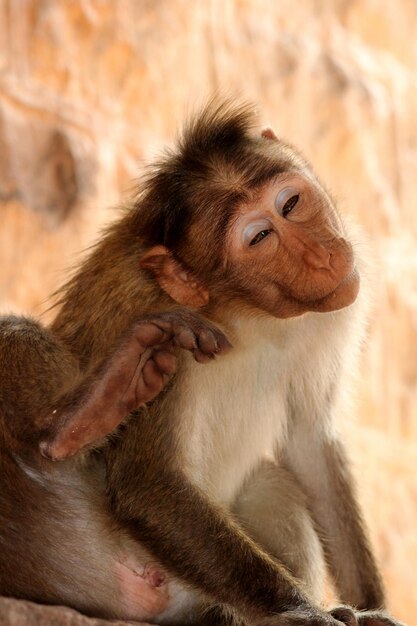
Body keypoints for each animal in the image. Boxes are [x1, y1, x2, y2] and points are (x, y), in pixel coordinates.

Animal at [0, 100, 404, 624]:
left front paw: (372, 607)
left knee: (270, 485)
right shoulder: (165, 326)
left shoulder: (329, 314)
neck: (248, 314)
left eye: (290, 205)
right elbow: (149, 485)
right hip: (68, 554)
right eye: (260, 237)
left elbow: (310, 443)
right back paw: (77, 419)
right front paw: (301, 612)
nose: (321, 257)